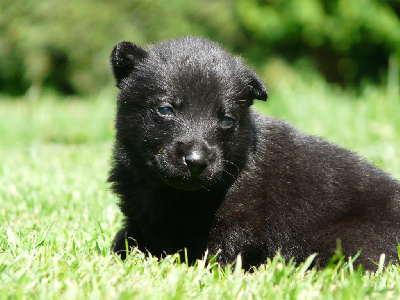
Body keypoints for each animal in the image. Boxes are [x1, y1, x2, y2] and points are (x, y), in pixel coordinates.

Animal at [108, 35, 398, 270]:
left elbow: (223, 254)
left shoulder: (240, 221)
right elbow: (125, 240)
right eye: (165, 110)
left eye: (227, 120)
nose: (196, 161)